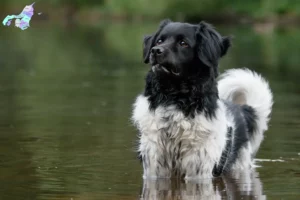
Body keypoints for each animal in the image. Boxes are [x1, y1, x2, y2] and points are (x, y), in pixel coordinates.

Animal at [131, 19, 272, 180]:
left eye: (183, 43)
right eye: (159, 40)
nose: (155, 50)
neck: (176, 99)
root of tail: (241, 108)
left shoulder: (199, 165)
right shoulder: (154, 162)